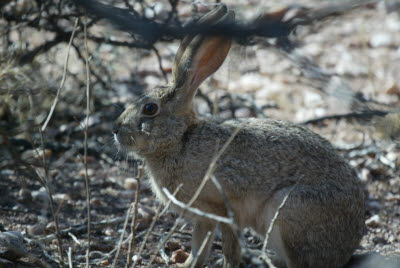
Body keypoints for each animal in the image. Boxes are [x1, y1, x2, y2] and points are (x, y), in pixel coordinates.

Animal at [111, 4, 364, 268]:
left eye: (150, 109)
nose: (116, 129)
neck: (180, 140)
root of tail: (347, 248)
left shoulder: (224, 209)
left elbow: (228, 248)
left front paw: (227, 264)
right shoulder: (204, 218)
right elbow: (199, 247)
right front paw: (186, 264)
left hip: (288, 211)